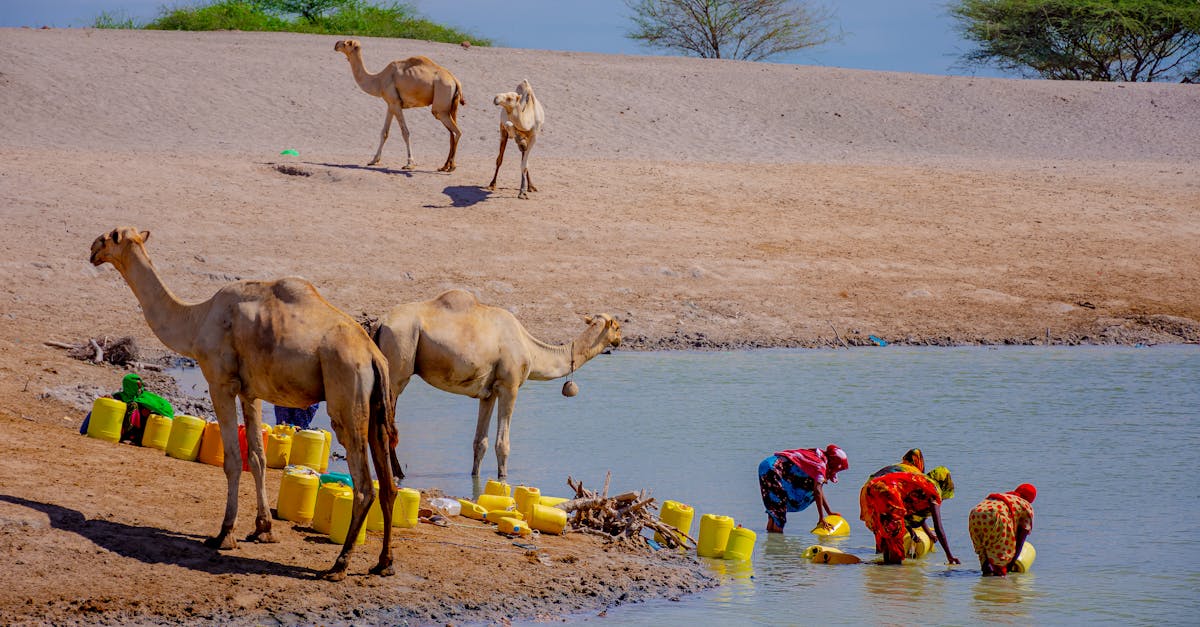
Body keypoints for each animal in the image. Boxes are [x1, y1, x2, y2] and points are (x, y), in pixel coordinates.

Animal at [338, 38, 468, 170]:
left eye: (347, 43)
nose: (336, 44)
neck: (379, 80)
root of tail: (455, 81)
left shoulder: (396, 103)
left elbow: (405, 132)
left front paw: (409, 163)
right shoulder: (390, 104)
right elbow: (384, 132)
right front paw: (374, 160)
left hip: (441, 101)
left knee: (456, 131)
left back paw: (450, 166)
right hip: (452, 105)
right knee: (452, 133)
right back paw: (446, 166)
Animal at [372, 290, 619, 475]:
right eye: (616, 326)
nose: (619, 339)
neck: (530, 347)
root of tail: (380, 324)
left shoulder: (488, 392)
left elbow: (480, 442)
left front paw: (476, 479)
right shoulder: (509, 386)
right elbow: (503, 444)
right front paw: (503, 481)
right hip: (398, 366)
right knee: (386, 424)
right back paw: (398, 474)